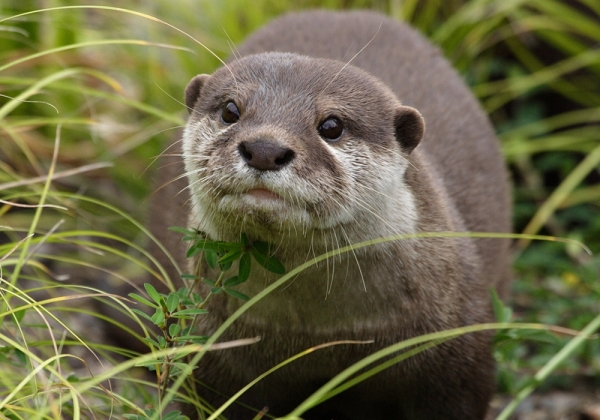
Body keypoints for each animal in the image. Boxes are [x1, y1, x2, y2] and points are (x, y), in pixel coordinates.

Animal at [150, 9, 510, 420]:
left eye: (332, 125)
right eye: (230, 110)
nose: (264, 148)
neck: (320, 337)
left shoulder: (456, 352)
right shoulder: (209, 354)